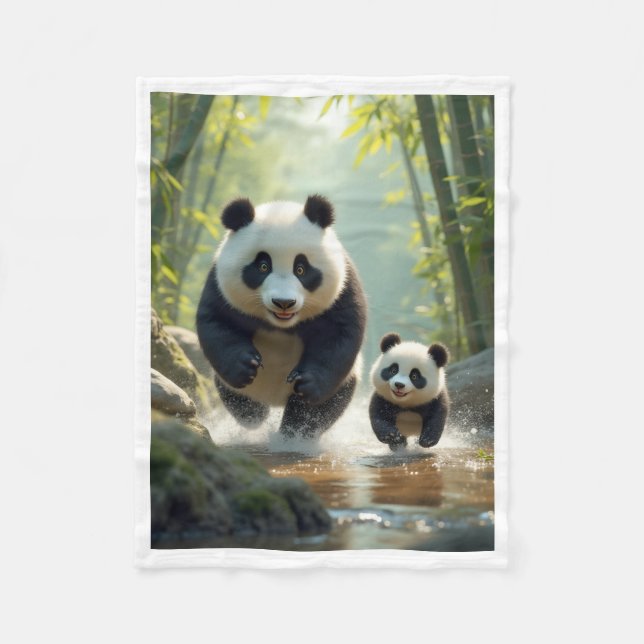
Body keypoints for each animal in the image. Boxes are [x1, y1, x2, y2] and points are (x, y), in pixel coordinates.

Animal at [196, 195, 367, 439]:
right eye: (263, 266)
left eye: (301, 269)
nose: (283, 302)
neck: (280, 324)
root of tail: (274, 399)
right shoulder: (219, 284)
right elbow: (218, 323)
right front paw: (245, 365)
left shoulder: (342, 287)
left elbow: (339, 334)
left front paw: (307, 382)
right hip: (234, 386)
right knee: (241, 401)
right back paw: (255, 415)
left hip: (344, 380)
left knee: (316, 408)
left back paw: (294, 433)